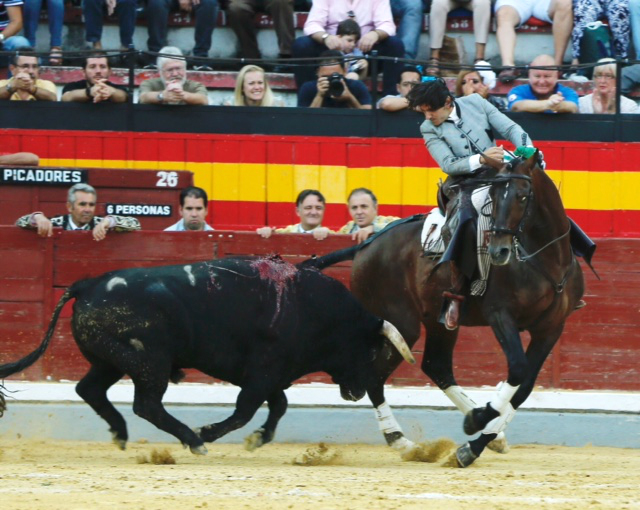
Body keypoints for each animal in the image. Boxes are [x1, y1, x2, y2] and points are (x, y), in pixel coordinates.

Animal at [0, 256, 412, 452]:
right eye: (370, 350)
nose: (359, 391)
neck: (315, 309)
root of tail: (88, 284)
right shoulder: (262, 372)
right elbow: (246, 409)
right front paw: (209, 432)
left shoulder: (268, 375)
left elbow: (277, 406)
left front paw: (258, 439)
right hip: (150, 363)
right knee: (146, 404)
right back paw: (192, 440)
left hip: (109, 361)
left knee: (90, 390)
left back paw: (120, 433)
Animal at [308, 153, 588, 468]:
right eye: (493, 197)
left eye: (522, 196)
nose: (499, 252)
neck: (544, 260)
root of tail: (367, 244)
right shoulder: (500, 315)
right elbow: (517, 369)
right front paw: (478, 425)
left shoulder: (551, 327)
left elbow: (524, 385)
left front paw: (478, 438)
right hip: (402, 324)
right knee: (375, 375)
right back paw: (402, 441)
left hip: (440, 322)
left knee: (436, 365)